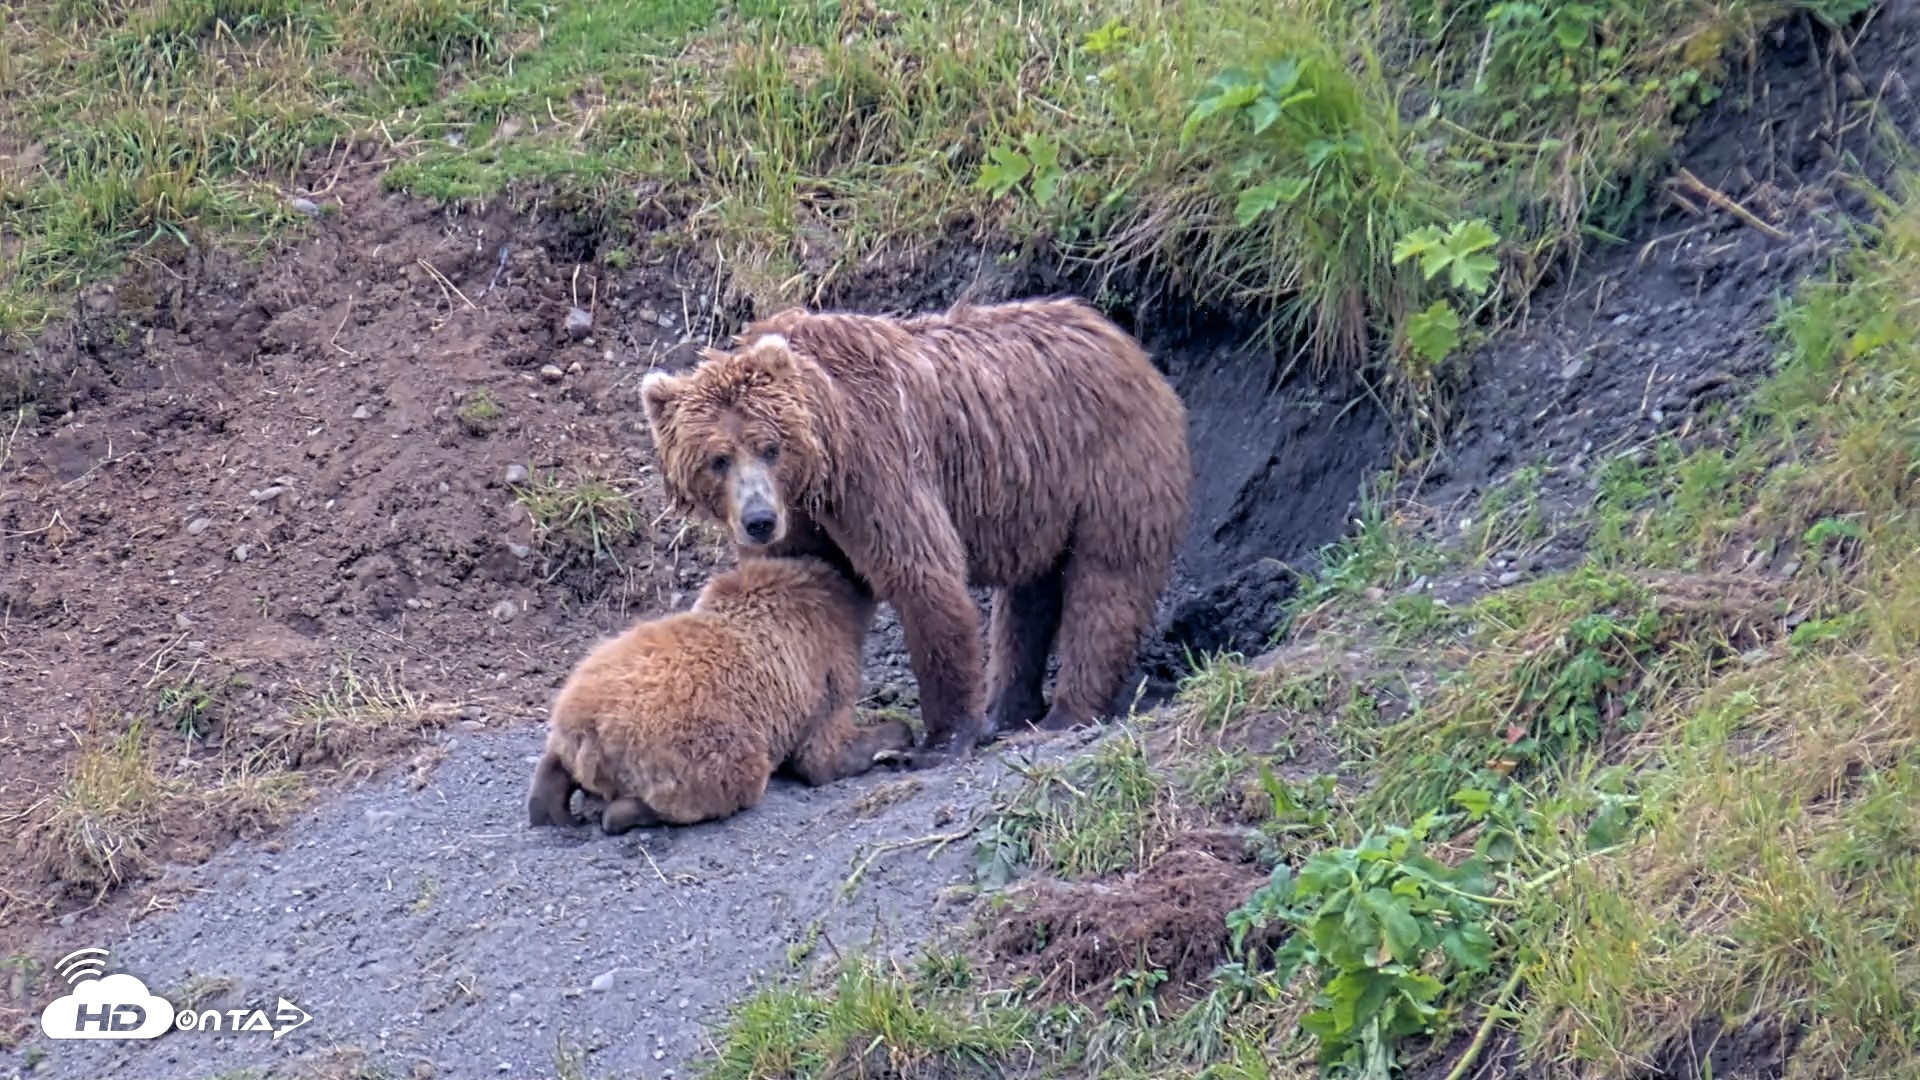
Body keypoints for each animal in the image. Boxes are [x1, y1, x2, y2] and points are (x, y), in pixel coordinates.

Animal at [526, 530, 913, 833]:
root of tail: (590, 733)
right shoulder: (826, 669)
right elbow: (824, 754)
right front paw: (895, 734)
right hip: (700, 751)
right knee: (717, 787)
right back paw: (623, 813)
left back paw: (550, 802)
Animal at [639, 296, 1192, 769]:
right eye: (718, 459)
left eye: (769, 446)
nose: (758, 521)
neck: (823, 461)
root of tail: (1122, 339)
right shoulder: (803, 518)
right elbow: (801, 583)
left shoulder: (878, 464)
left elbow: (920, 572)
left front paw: (940, 738)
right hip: (1038, 497)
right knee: (1028, 597)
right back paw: (1008, 709)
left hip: (1109, 460)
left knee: (1107, 581)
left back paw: (1066, 712)